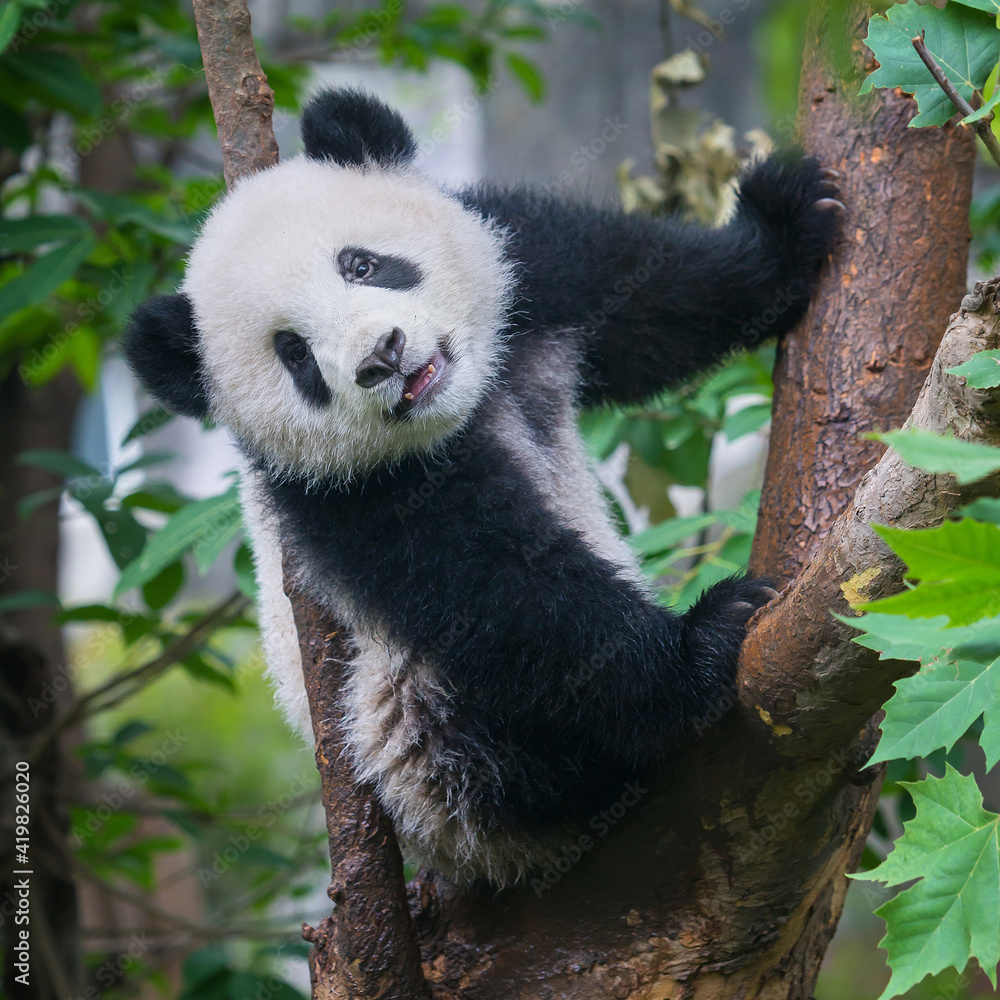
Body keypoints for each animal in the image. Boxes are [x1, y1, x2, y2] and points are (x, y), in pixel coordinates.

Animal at [123, 89, 840, 887]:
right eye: (294, 354)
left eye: (362, 264)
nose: (382, 358)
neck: (463, 410)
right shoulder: (343, 494)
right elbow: (500, 594)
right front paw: (703, 640)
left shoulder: (528, 263)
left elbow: (653, 298)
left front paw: (786, 225)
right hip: (423, 748)